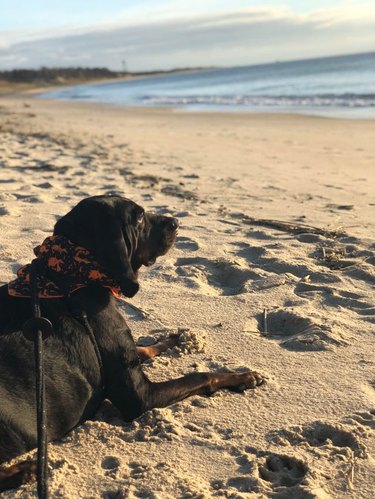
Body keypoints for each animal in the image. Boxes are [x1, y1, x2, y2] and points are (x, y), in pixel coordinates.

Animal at [0, 194, 264, 492]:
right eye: (137, 217)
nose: (175, 222)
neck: (74, 275)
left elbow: (144, 348)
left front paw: (172, 339)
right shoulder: (140, 397)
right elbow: (201, 376)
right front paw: (242, 376)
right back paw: (26, 470)